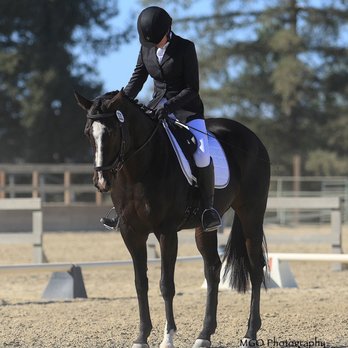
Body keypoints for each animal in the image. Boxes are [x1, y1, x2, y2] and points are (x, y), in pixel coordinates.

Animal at [75, 90, 272, 348]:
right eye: (88, 132)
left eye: (112, 131)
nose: (101, 181)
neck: (139, 169)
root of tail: (253, 137)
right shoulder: (131, 233)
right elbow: (140, 283)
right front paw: (141, 337)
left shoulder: (166, 232)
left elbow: (166, 285)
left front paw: (167, 337)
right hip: (205, 227)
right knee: (212, 269)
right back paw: (204, 335)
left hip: (251, 213)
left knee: (256, 267)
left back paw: (250, 334)